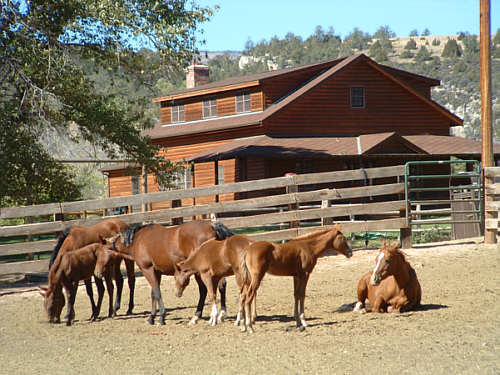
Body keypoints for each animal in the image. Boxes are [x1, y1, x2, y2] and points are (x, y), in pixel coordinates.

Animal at [95, 220, 234, 326]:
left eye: (100, 252)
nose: (97, 272)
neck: (137, 240)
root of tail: (212, 225)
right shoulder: (157, 272)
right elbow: (153, 294)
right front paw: (152, 317)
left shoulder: (147, 270)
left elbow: (157, 292)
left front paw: (161, 317)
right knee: (219, 286)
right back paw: (217, 314)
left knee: (206, 289)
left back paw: (200, 316)